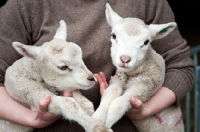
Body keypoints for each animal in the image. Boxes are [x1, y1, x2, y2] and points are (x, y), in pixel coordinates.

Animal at [91, 3, 184, 132]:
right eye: (113, 36)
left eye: (146, 42)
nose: (125, 59)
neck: (130, 75)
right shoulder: (117, 79)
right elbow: (111, 92)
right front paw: (97, 119)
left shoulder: (145, 87)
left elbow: (119, 102)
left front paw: (107, 124)